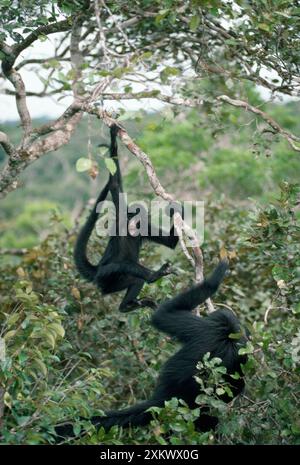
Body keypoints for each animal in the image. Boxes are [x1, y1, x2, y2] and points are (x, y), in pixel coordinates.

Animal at [55, 260, 247, 438]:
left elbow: (162, 315)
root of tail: (162, 400)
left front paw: (217, 275)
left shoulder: (206, 329)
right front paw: (219, 273)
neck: (228, 335)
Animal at [74, 123, 182, 312]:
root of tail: (97, 270)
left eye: (140, 220)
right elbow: (115, 184)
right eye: (134, 217)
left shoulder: (145, 228)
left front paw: (177, 209)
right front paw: (113, 135)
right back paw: (154, 276)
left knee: (135, 279)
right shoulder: (121, 217)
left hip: (115, 284)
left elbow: (170, 242)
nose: (135, 224)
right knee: (123, 265)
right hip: (105, 276)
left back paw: (127, 305)